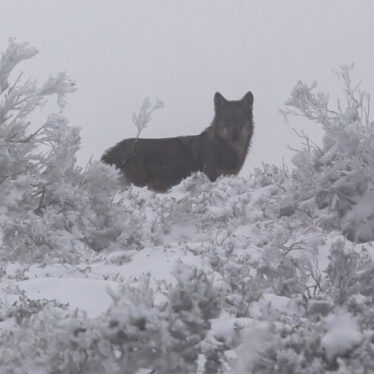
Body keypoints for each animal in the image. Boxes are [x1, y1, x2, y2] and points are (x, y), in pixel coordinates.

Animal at [101, 90, 254, 190]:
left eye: (241, 118)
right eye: (226, 119)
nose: (235, 136)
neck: (222, 148)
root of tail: (113, 150)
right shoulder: (211, 178)